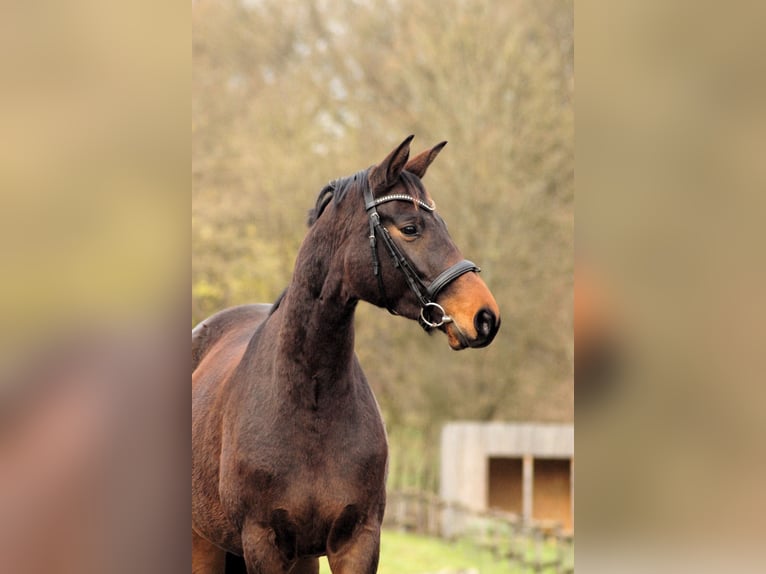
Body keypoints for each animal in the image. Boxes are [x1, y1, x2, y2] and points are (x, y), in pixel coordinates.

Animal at [192, 137, 504, 572]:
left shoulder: (357, 540)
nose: (485, 316)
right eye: (410, 228)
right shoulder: (262, 543)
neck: (310, 400)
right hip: (203, 543)